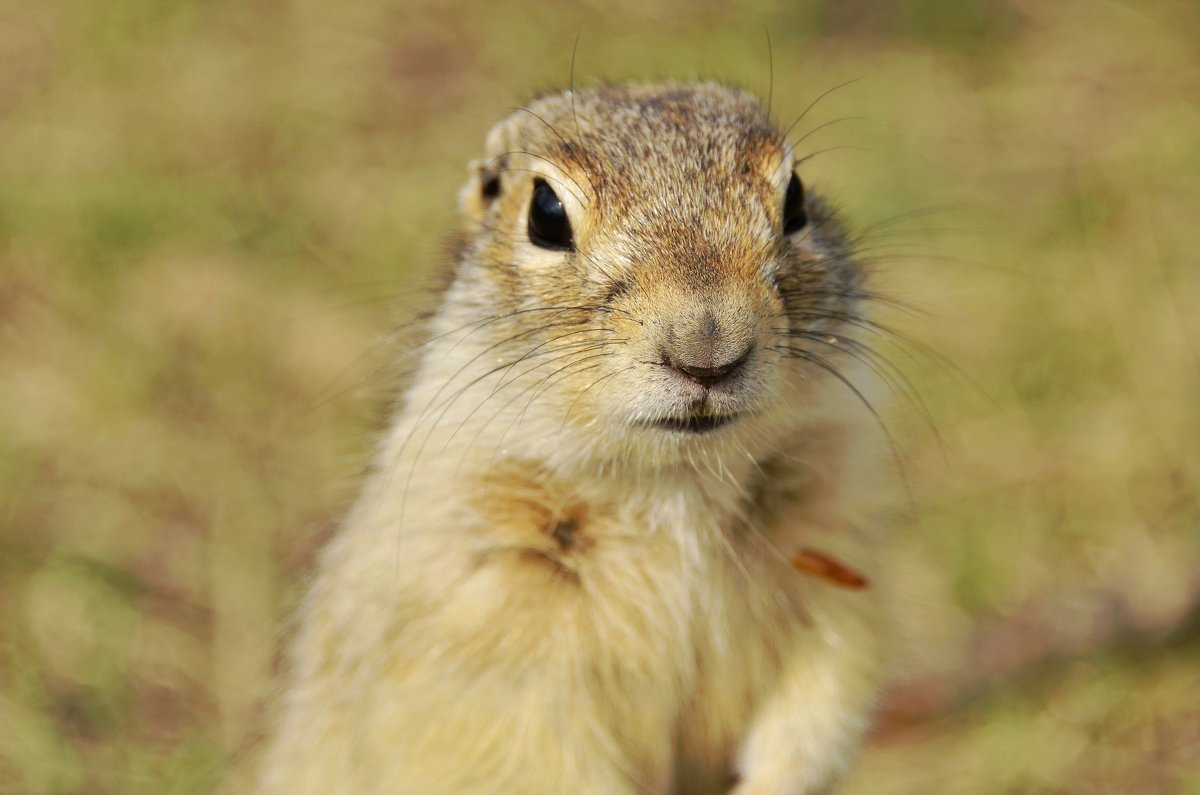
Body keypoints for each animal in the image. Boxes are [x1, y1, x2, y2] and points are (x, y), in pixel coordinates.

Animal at [229, 82, 897, 795]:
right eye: (545, 214)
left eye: (796, 197)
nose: (709, 352)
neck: (675, 481)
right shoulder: (482, 615)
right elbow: (526, 752)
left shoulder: (833, 550)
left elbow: (823, 693)